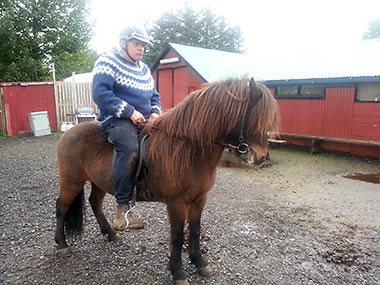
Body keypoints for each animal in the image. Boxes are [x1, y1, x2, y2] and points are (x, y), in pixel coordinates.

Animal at [54, 76, 280, 282]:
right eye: (255, 117)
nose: (261, 157)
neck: (189, 148)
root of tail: (69, 133)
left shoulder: (199, 199)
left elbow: (195, 230)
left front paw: (200, 263)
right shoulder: (176, 204)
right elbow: (178, 236)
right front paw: (178, 272)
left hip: (98, 182)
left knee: (94, 202)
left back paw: (111, 233)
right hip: (71, 181)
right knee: (61, 207)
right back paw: (62, 245)